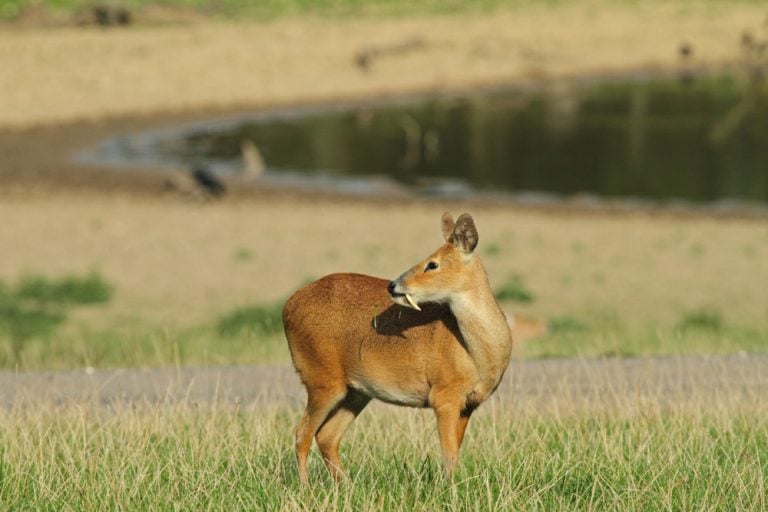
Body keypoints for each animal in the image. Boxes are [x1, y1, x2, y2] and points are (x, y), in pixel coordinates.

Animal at [282, 212, 514, 483]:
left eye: (432, 264)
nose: (393, 285)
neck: (478, 355)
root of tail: (287, 307)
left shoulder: (469, 404)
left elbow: (455, 452)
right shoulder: (444, 395)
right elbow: (449, 456)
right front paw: (449, 488)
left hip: (356, 392)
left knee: (326, 435)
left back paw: (346, 486)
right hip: (321, 379)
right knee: (302, 434)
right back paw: (306, 487)